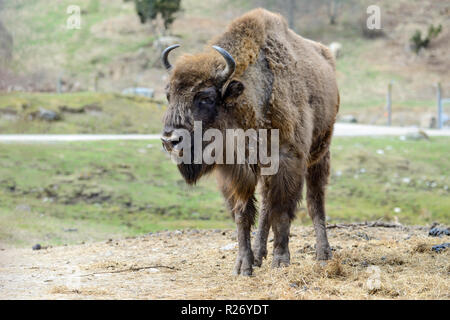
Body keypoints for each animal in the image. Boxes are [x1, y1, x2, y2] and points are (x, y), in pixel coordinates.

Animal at [160, 8, 340, 276]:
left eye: (205, 97)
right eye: (168, 95)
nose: (170, 140)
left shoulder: (287, 160)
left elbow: (282, 211)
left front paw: (281, 260)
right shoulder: (235, 171)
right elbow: (243, 214)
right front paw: (243, 265)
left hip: (320, 153)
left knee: (314, 200)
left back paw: (323, 253)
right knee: (266, 205)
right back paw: (259, 254)